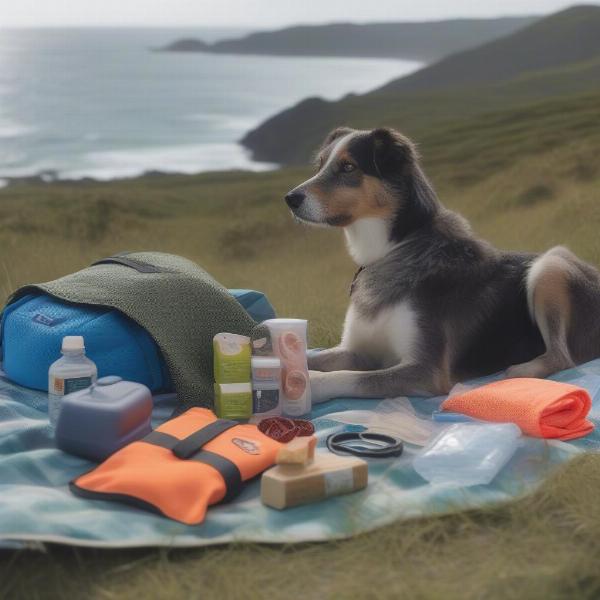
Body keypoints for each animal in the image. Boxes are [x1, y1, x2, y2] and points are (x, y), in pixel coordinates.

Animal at [284, 126, 600, 404]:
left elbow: (348, 377)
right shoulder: (358, 352)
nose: (290, 198)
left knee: (563, 357)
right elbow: (315, 357)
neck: (394, 249)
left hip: (551, 265)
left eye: (348, 167)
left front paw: (310, 384)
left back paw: (519, 371)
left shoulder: (424, 371)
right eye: (320, 165)